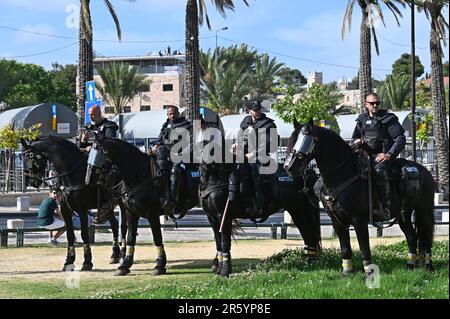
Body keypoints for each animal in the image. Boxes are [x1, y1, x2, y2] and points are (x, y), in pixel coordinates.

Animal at [20, 136, 127, 272]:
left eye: (31, 157)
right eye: (23, 158)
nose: (32, 181)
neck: (73, 174)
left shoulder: (82, 210)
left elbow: (84, 234)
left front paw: (87, 262)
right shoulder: (65, 210)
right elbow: (69, 235)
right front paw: (69, 261)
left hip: (122, 203)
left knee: (123, 227)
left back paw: (123, 254)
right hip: (108, 206)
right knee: (114, 225)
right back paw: (115, 255)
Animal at [195, 127, 322, 278]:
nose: (205, 165)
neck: (217, 177)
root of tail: (309, 172)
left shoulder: (224, 217)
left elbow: (225, 242)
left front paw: (225, 271)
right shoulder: (212, 218)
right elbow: (218, 242)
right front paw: (220, 269)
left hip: (304, 210)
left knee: (310, 235)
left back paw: (312, 263)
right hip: (297, 212)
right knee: (307, 235)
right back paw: (310, 262)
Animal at [284, 121, 436, 276]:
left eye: (306, 139)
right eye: (291, 140)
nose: (288, 167)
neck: (344, 174)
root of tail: (424, 171)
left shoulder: (359, 220)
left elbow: (364, 248)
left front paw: (369, 271)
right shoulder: (337, 221)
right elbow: (345, 248)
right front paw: (347, 271)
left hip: (424, 211)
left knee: (426, 238)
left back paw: (428, 266)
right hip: (403, 214)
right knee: (412, 236)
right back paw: (410, 265)